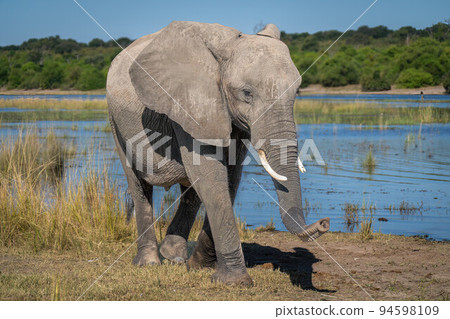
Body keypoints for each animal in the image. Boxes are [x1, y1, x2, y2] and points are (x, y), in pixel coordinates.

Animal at [107, 21, 328, 286]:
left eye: (297, 92)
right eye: (247, 93)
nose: (324, 223)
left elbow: (230, 177)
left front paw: (200, 266)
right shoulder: (190, 104)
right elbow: (211, 176)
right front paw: (235, 282)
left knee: (191, 190)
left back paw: (174, 256)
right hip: (116, 120)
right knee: (138, 185)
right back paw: (150, 262)